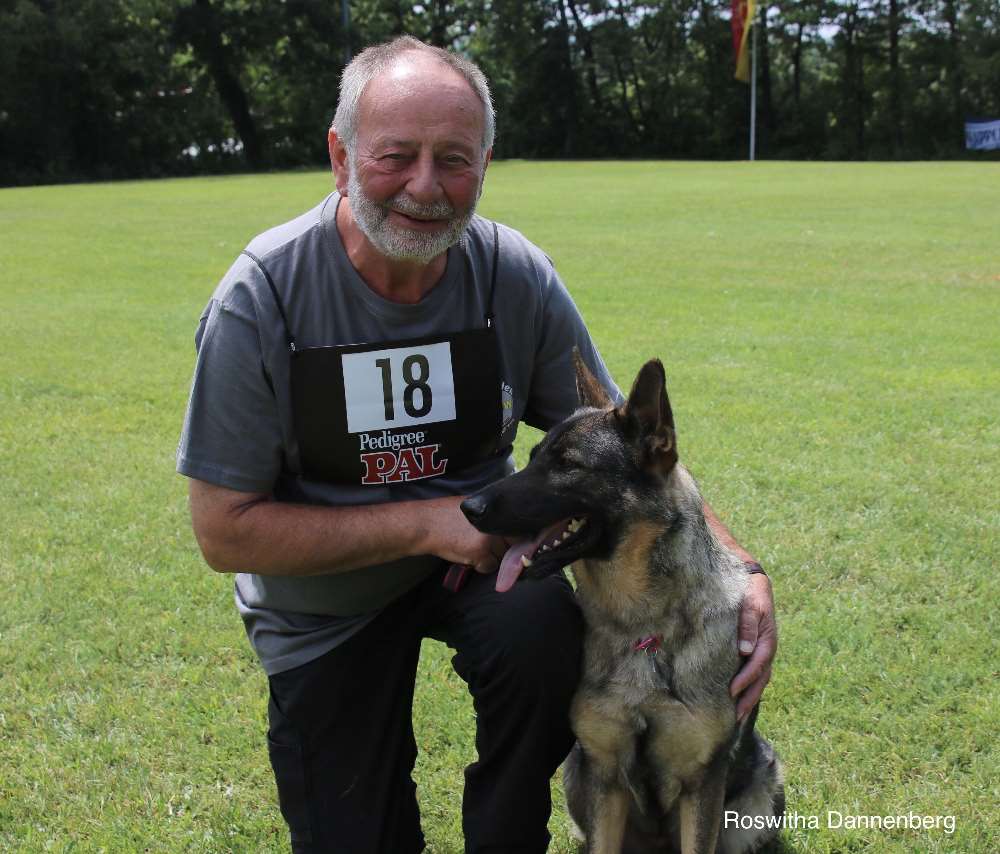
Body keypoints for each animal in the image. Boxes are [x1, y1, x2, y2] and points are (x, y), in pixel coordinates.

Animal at [460, 352, 780, 852]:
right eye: (532, 459)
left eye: (567, 465)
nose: (467, 507)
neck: (643, 628)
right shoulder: (605, 778)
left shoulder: (701, 788)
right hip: (577, 775)